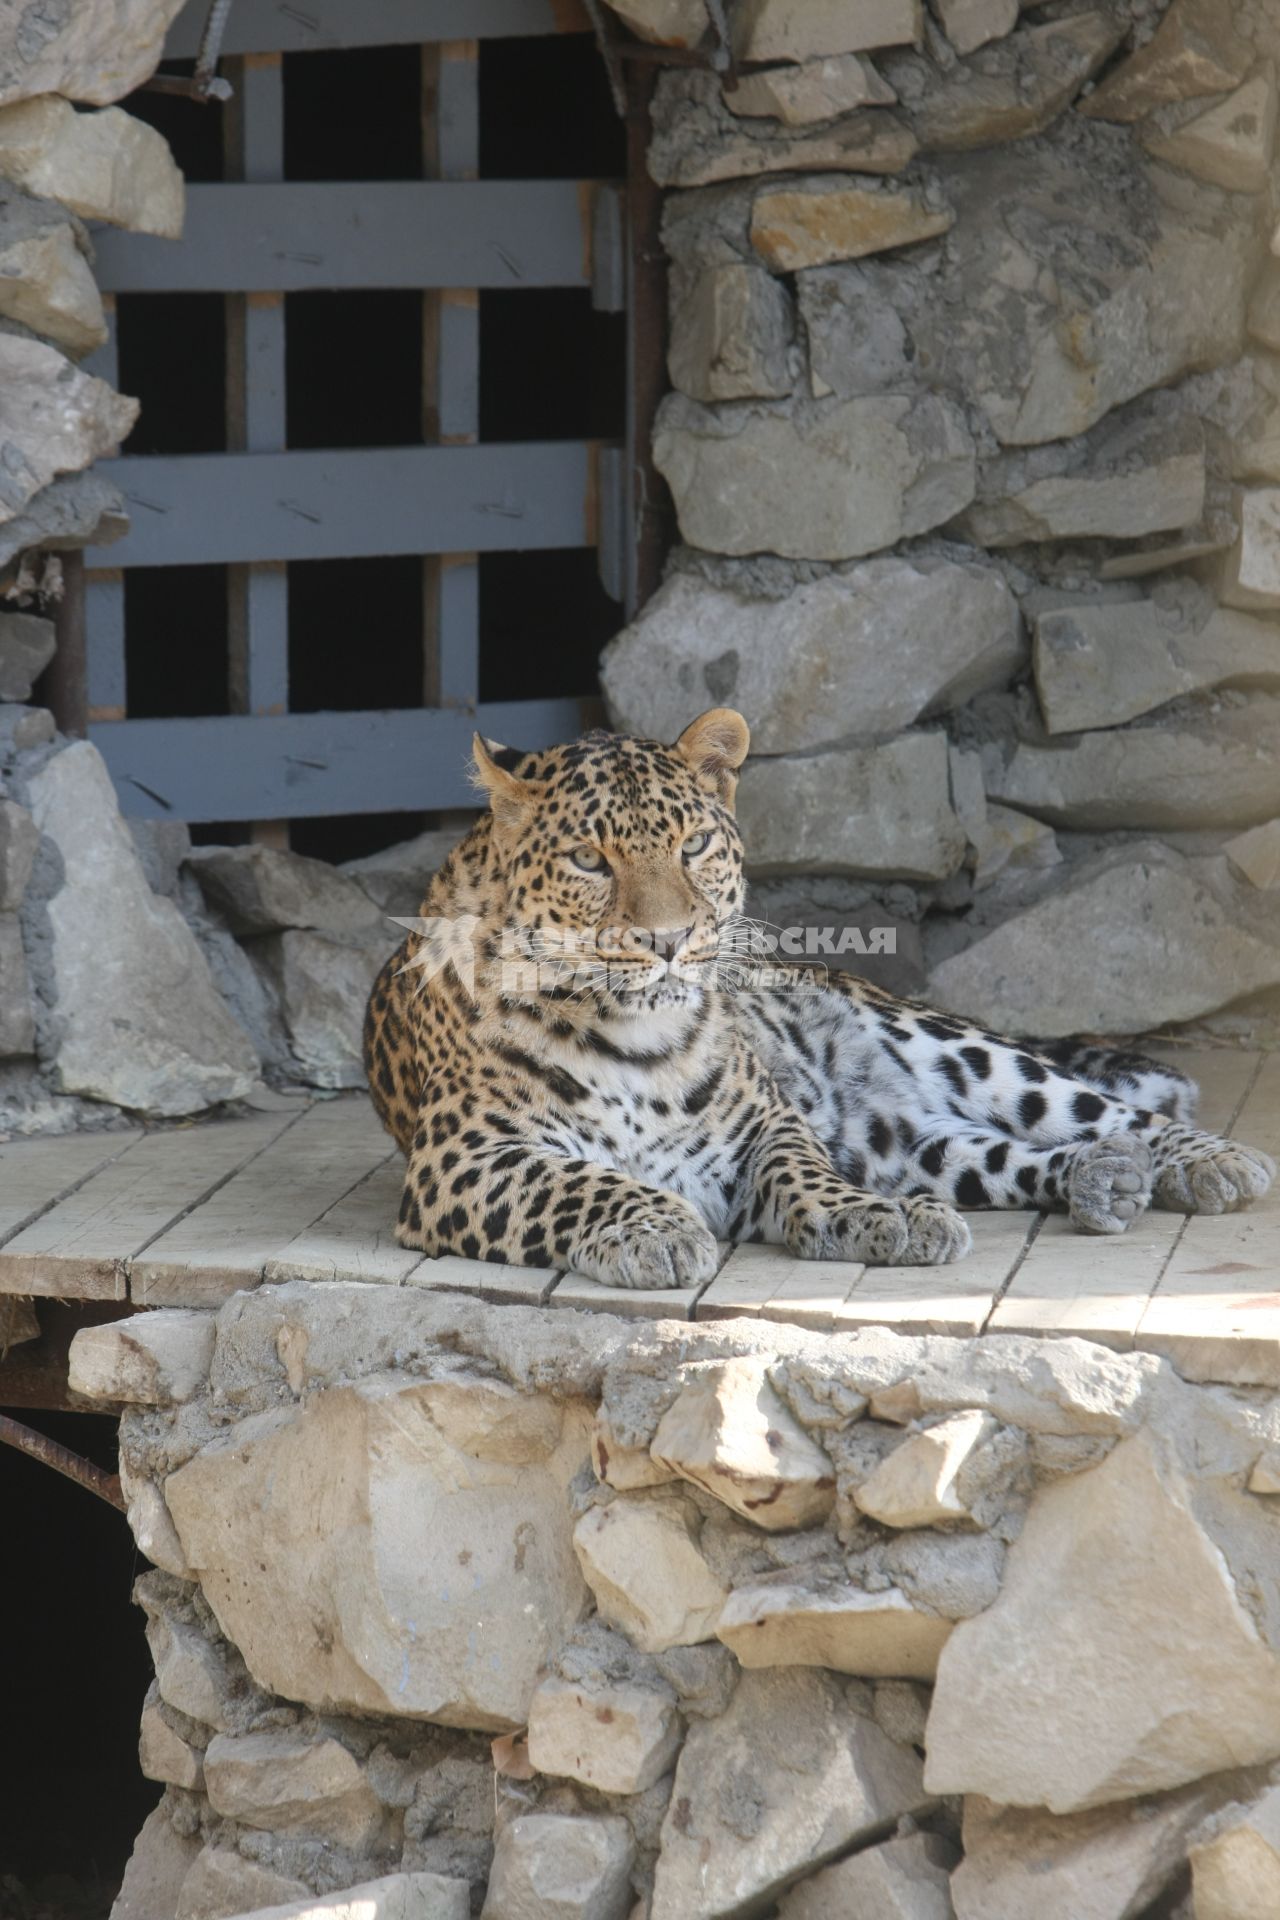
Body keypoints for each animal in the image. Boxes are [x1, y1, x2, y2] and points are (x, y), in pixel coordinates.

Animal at [364, 710, 1274, 1290]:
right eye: (590, 860)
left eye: (694, 845)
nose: (668, 940)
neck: (635, 1035)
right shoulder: (463, 1158)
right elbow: (583, 1182)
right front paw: (659, 1229)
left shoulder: (765, 1122)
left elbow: (803, 1171)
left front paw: (874, 1219)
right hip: (905, 1143)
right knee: (997, 1154)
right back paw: (1101, 1179)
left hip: (951, 1049)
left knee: (1099, 1109)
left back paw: (1207, 1162)